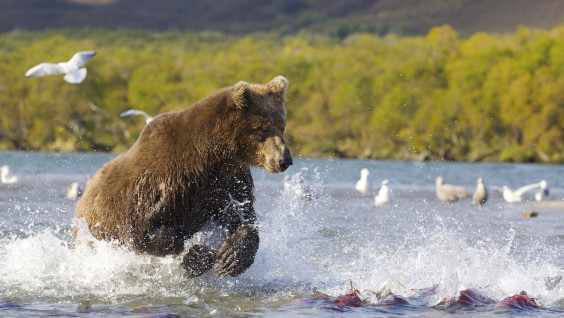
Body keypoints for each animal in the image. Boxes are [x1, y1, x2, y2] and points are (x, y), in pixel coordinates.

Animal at [73, 76, 294, 278]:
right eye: (262, 128)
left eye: (282, 125)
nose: (285, 160)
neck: (210, 159)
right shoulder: (159, 185)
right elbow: (145, 232)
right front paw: (198, 254)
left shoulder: (228, 181)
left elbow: (242, 214)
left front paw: (231, 256)